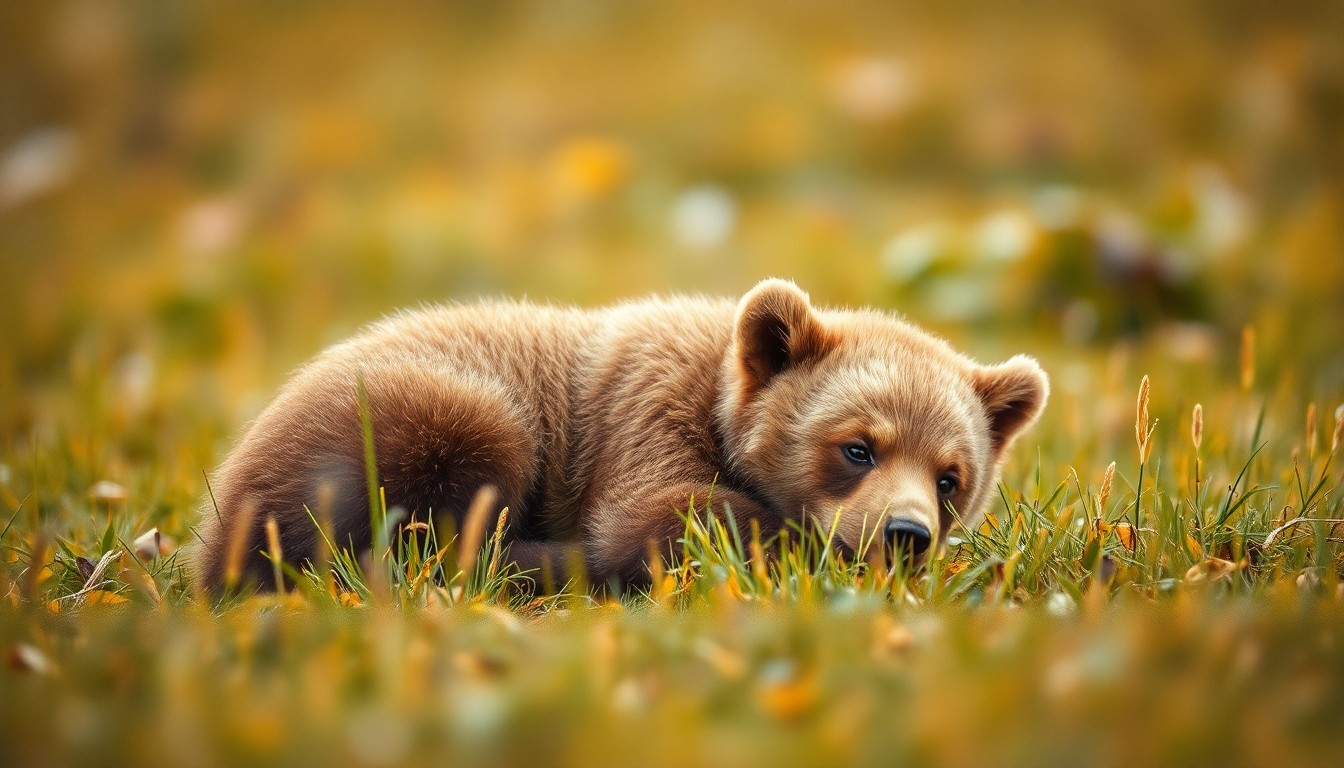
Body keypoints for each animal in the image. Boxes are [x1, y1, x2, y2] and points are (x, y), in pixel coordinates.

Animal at [187, 278, 1048, 593]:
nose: (906, 534)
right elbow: (657, 513)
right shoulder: (643, 413)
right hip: (436, 407)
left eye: (951, 476)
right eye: (857, 446)